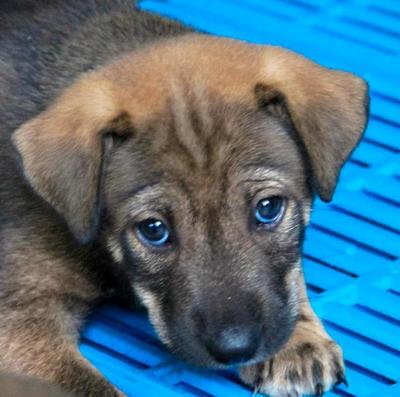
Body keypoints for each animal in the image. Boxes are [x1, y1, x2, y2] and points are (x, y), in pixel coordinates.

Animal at [0, 0, 368, 396]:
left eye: (268, 208)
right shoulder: (19, 318)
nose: (236, 347)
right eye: (153, 229)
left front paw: (298, 339)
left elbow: (291, 271)